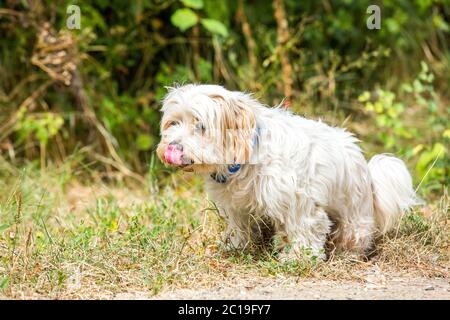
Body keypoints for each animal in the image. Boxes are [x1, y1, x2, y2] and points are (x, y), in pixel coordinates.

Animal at [156, 84, 420, 258]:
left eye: (200, 125)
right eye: (173, 123)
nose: (172, 147)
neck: (248, 154)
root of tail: (369, 175)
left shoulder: (302, 204)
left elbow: (306, 231)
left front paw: (300, 258)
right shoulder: (236, 207)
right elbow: (240, 228)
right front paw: (235, 247)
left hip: (354, 219)